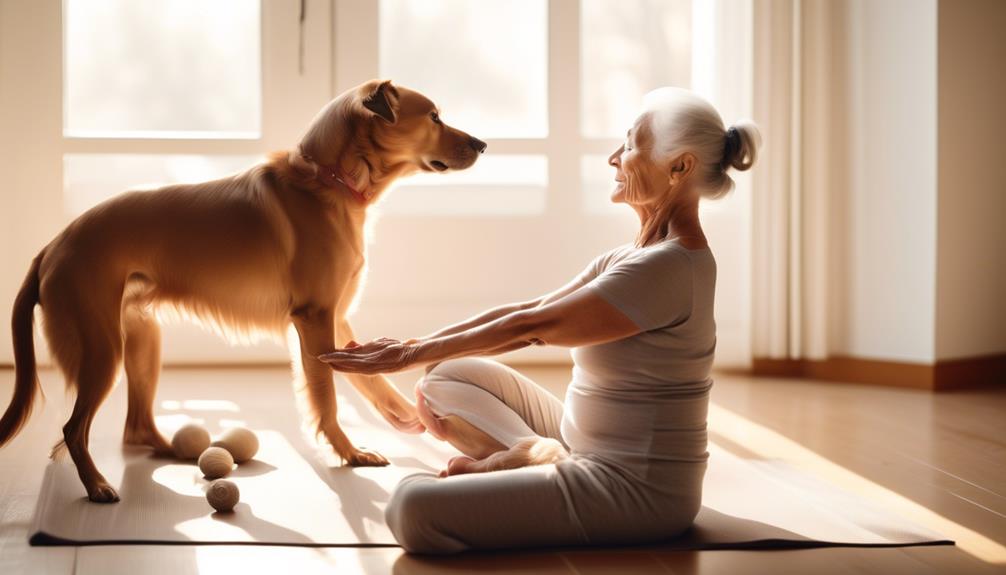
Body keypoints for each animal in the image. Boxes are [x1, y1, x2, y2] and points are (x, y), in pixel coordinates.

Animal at [0, 78, 486, 500]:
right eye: (434, 117)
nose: (482, 144)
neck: (327, 183)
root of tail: (51, 248)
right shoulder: (315, 318)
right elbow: (327, 397)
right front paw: (348, 453)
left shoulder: (338, 319)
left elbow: (370, 381)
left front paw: (404, 416)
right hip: (103, 349)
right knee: (73, 430)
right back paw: (98, 485)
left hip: (141, 339)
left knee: (135, 427)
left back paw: (173, 450)